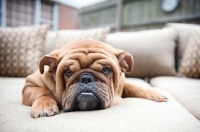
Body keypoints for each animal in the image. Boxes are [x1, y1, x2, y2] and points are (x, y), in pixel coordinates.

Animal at [21, 39, 166, 118]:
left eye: (106, 70)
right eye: (68, 72)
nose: (86, 78)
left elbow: (134, 87)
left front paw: (154, 94)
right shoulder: (29, 85)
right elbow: (42, 92)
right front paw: (44, 106)